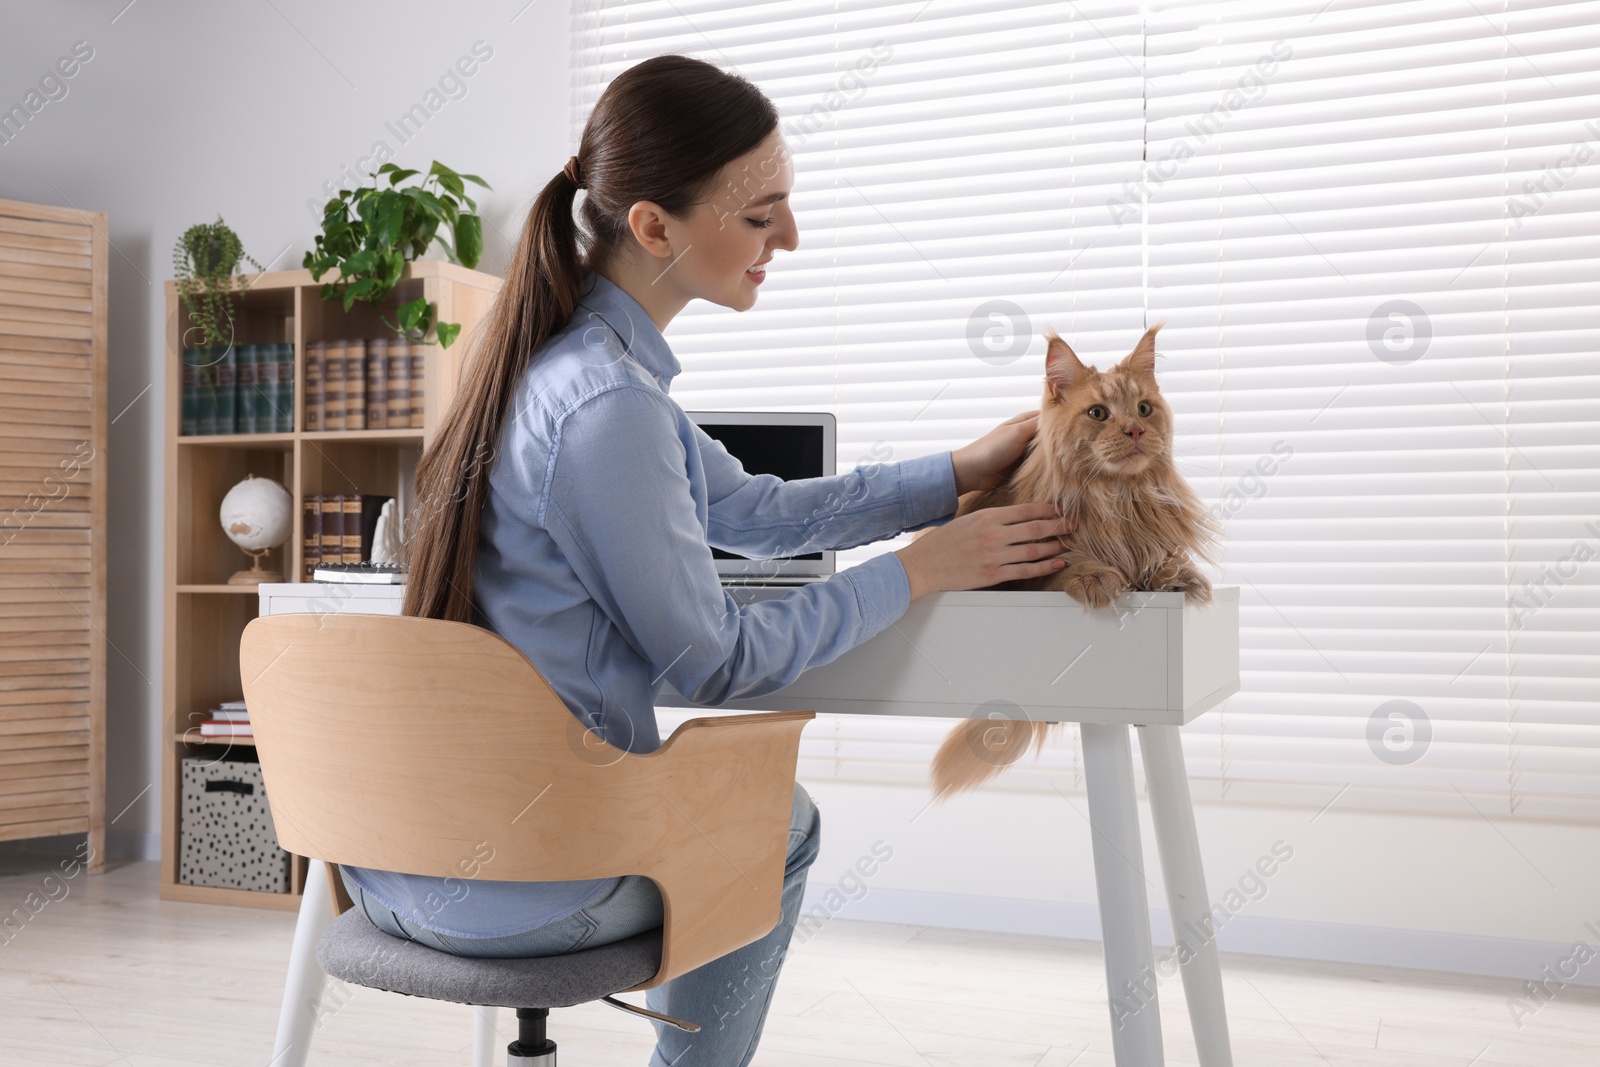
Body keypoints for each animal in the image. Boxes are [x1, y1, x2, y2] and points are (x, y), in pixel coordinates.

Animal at [928, 326, 1209, 799]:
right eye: (1097, 413)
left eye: (1144, 409)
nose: (1135, 430)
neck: (1116, 500)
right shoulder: (1027, 568)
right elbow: (1069, 568)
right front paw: (1096, 576)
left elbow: (1164, 560)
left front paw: (1179, 577)